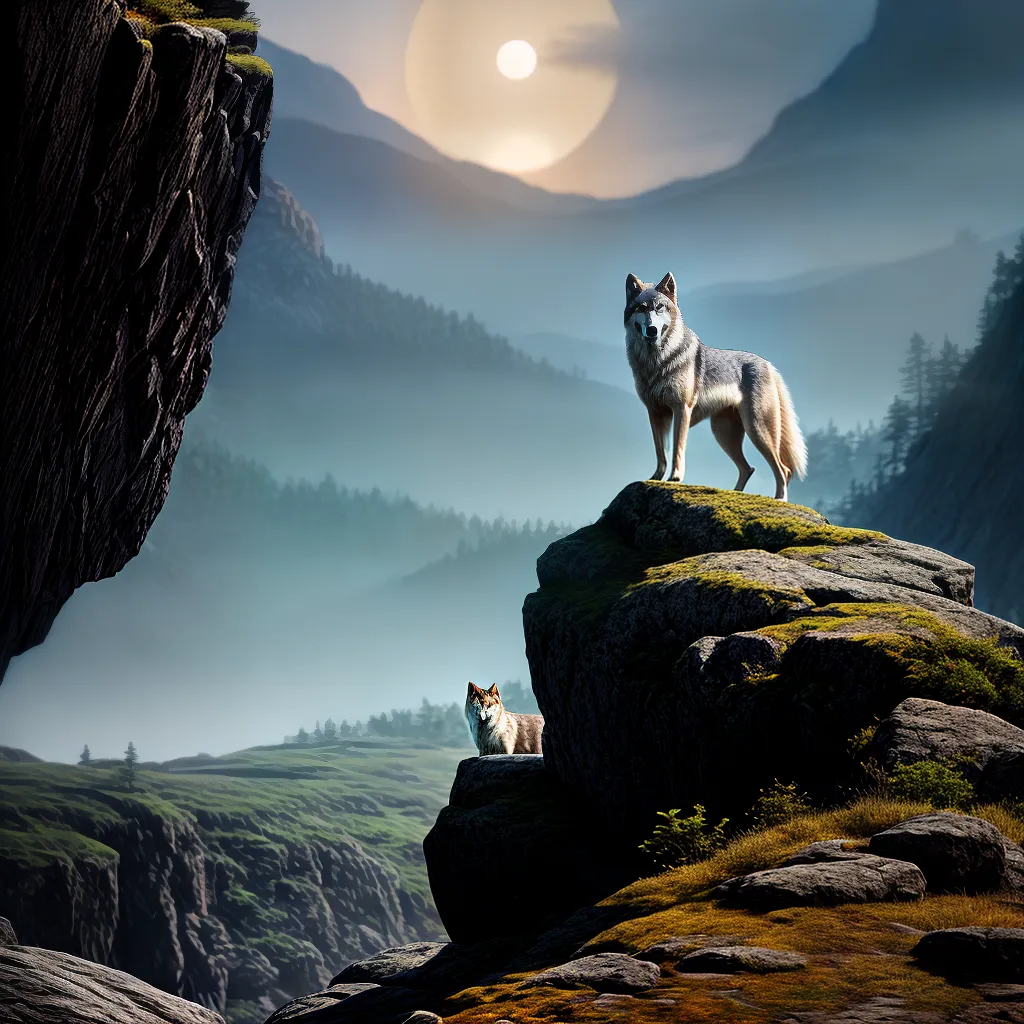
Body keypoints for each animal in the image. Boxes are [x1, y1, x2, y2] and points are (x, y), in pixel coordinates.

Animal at [624, 271, 807, 501]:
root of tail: (768, 365)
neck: (656, 362)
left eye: (659, 307)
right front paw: (655, 478)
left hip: (757, 431)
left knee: (783, 469)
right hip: (724, 434)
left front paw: (675, 478)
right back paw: (735, 494)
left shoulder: (681, 410)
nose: (651, 330)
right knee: (748, 468)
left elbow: (677, 449)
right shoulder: (655, 413)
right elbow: (661, 452)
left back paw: (779, 499)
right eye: (642, 308)